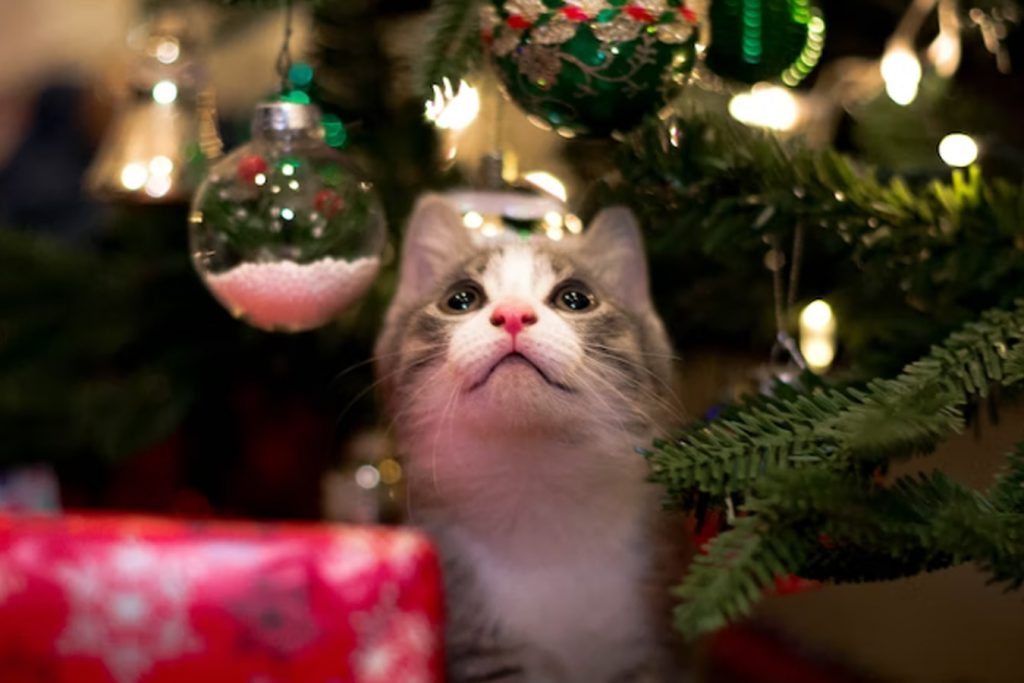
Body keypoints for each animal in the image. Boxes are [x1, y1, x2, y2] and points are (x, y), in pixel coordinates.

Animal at [374, 193, 679, 683]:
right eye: (460, 299)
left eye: (575, 298)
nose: (514, 314)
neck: (533, 482)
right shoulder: (478, 642)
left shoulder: (651, 637)